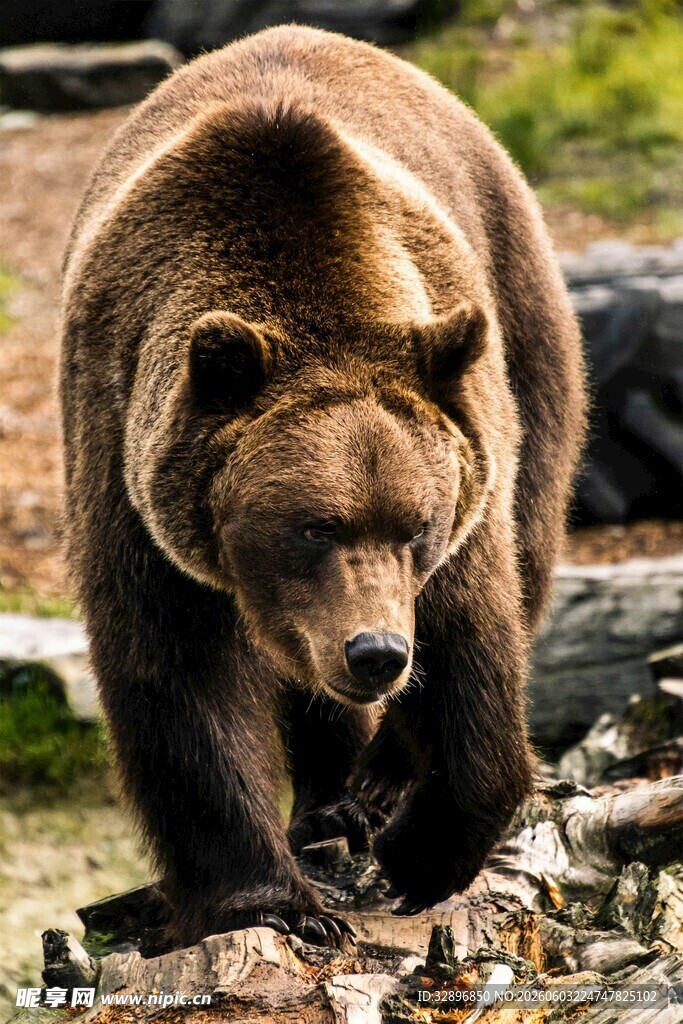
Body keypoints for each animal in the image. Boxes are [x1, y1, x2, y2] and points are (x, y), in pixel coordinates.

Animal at [60, 25, 586, 948]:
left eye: (415, 526)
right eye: (313, 526)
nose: (375, 652)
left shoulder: (463, 482)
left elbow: (474, 639)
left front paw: (421, 855)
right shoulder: (129, 466)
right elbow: (177, 679)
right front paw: (268, 900)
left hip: (526, 333)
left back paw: (366, 790)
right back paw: (329, 804)